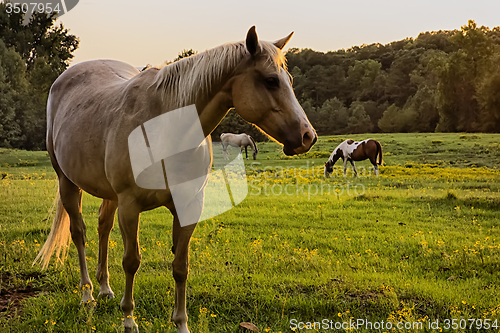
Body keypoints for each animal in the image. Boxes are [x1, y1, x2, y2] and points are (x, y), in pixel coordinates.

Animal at [34, 26, 316, 332]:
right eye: (271, 81)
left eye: (288, 80)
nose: (307, 136)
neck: (167, 130)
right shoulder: (130, 205)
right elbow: (131, 261)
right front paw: (129, 319)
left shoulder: (189, 205)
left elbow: (181, 266)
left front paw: (181, 323)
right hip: (68, 183)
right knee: (79, 233)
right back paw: (87, 295)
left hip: (109, 195)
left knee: (103, 228)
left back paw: (105, 288)